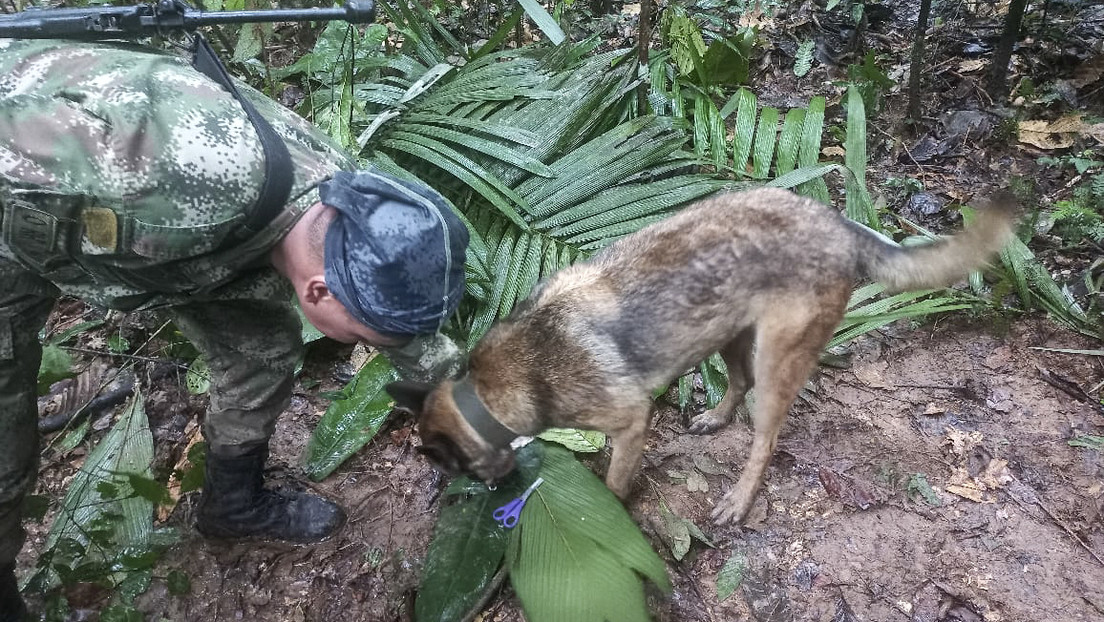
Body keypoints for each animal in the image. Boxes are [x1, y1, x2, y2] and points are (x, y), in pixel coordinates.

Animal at [388, 187, 1015, 523]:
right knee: (736, 384)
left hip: (776, 358)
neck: (488, 391)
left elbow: (615, 482)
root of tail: (838, 223)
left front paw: (611, 511)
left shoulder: (630, 422)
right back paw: (715, 418)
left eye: (453, 468)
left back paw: (739, 498)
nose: (495, 494)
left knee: (765, 438)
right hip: (728, 333)